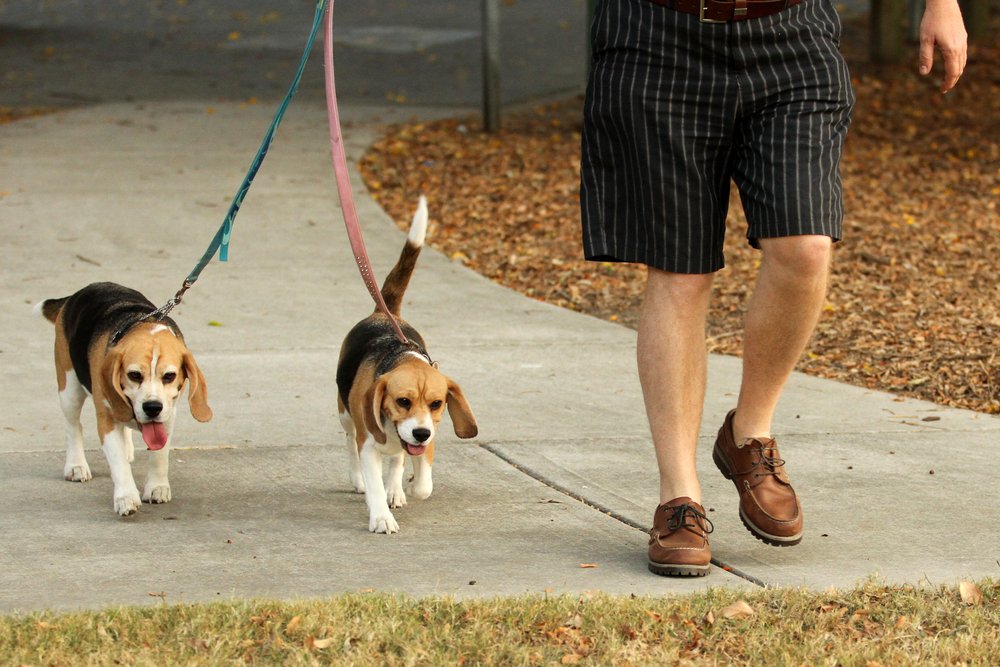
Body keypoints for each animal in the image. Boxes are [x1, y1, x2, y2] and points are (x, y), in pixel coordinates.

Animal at [36, 282, 212, 516]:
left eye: (169, 376)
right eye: (134, 375)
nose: (152, 407)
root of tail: (80, 292)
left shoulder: (168, 414)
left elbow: (159, 455)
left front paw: (157, 487)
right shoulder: (107, 419)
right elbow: (118, 462)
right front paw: (126, 497)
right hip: (69, 388)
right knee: (74, 426)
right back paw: (76, 465)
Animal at [336, 196, 476, 536]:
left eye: (437, 403)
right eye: (402, 401)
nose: (422, 433)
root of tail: (383, 312)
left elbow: (421, 482)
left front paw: (406, 487)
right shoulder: (369, 445)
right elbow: (373, 480)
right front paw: (381, 517)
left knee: (397, 460)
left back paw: (396, 487)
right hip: (345, 415)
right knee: (349, 443)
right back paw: (359, 479)